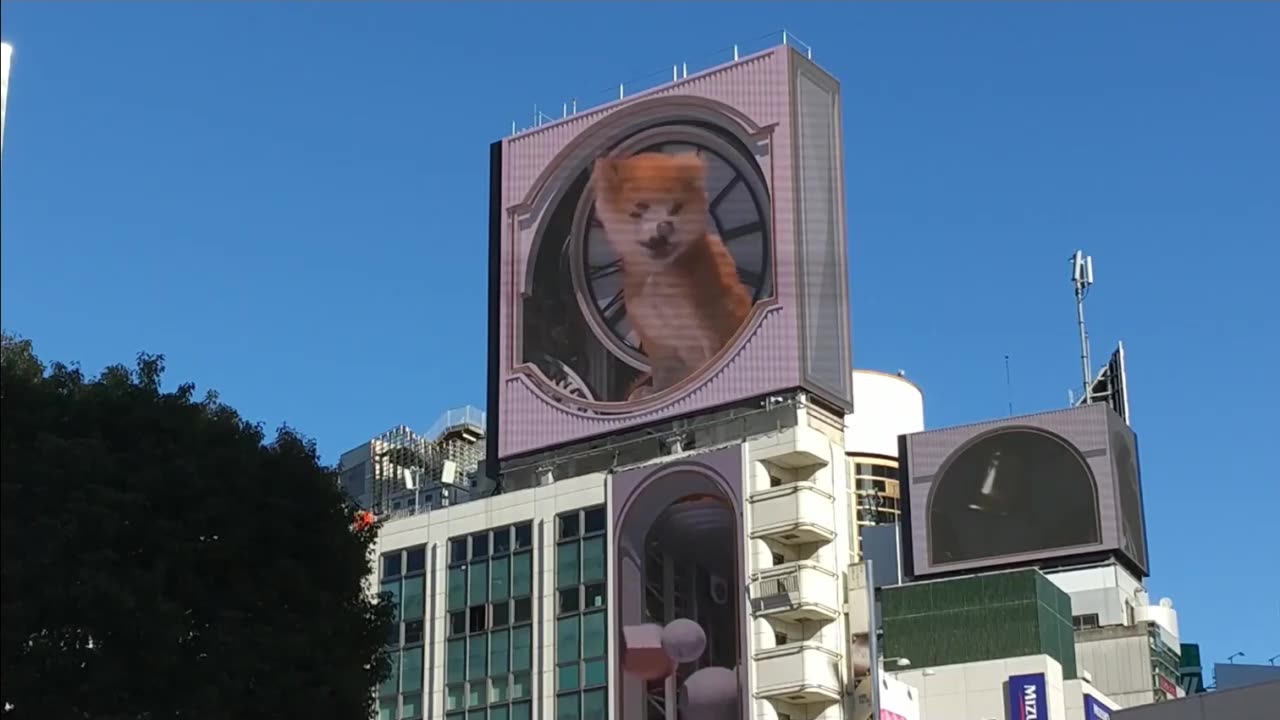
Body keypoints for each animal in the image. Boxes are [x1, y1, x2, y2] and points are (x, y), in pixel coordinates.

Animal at [593, 152, 752, 397]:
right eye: (639, 209)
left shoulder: (715, 326)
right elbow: (666, 380)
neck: (658, 277)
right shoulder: (661, 343)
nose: (664, 226)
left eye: (676, 207)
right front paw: (652, 393)